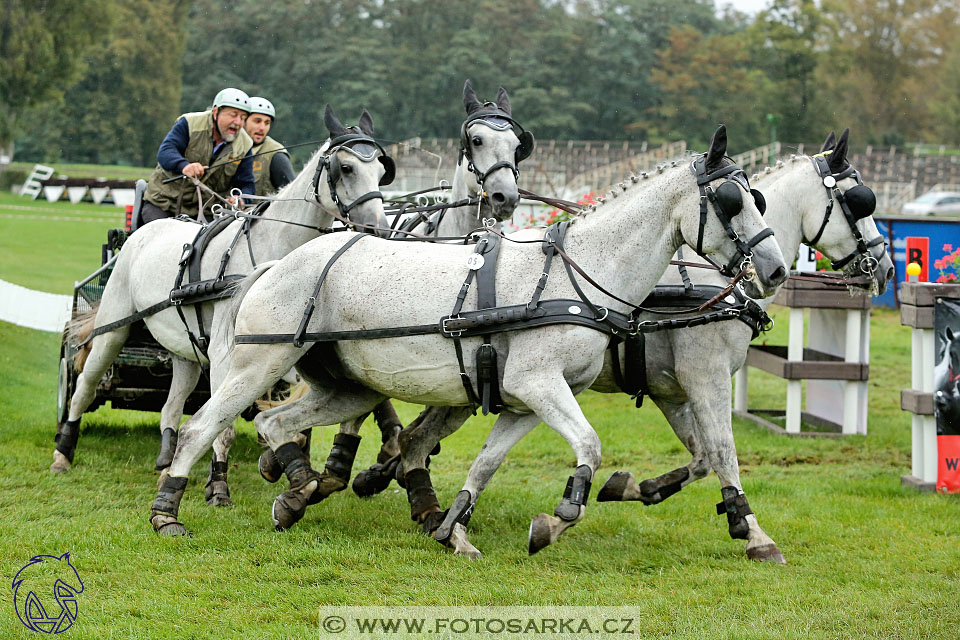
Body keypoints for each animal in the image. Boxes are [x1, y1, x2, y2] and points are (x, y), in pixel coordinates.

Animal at [47, 107, 394, 502]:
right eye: (346, 168)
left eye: (381, 170)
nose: (380, 228)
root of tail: (143, 232)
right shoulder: (226, 354)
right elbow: (222, 423)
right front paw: (218, 484)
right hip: (113, 330)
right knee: (84, 388)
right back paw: (63, 452)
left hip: (185, 351)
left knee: (170, 407)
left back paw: (166, 463)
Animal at [152, 125, 788, 556]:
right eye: (732, 200)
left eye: (758, 198)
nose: (777, 270)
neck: (577, 276)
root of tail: (276, 265)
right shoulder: (541, 383)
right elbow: (593, 445)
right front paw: (561, 515)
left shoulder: (523, 400)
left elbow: (486, 463)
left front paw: (453, 527)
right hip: (258, 363)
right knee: (202, 427)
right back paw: (170, 512)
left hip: (350, 386)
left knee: (276, 422)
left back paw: (296, 496)